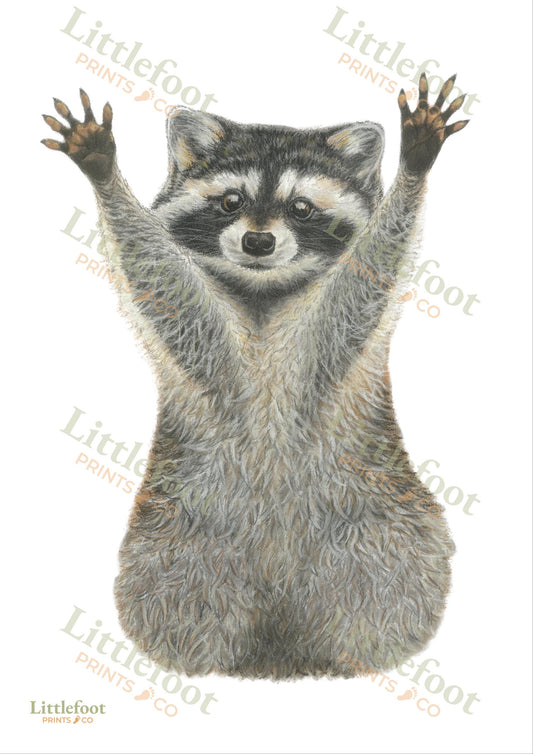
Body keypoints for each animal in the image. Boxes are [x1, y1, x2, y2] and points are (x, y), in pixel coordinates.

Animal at [42, 74, 469, 679]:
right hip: (177, 538)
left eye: (302, 208)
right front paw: (103, 169)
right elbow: (165, 285)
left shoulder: (322, 349)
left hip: (380, 528)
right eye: (231, 201)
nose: (259, 242)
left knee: (386, 590)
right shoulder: (210, 348)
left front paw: (414, 168)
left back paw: (358, 655)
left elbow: (364, 281)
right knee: (174, 597)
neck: (265, 291)